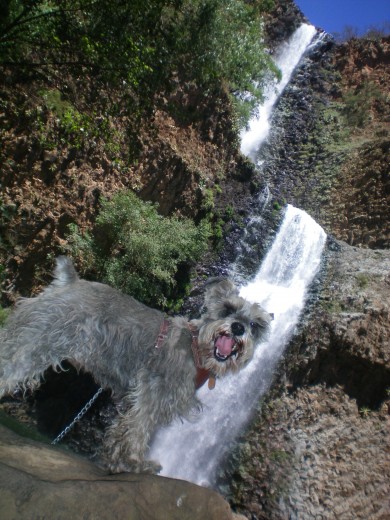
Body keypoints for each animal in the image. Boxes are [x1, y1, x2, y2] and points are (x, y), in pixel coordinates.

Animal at [0, 258, 272, 474]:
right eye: (227, 308)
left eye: (256, 325)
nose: (238, 327)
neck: (196, 348)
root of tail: (71, 282)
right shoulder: (153, 395)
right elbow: (139, 430)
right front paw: (135, 463)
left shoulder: (148, 400)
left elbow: (129, 428)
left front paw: (117, 461)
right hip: (36, 344)